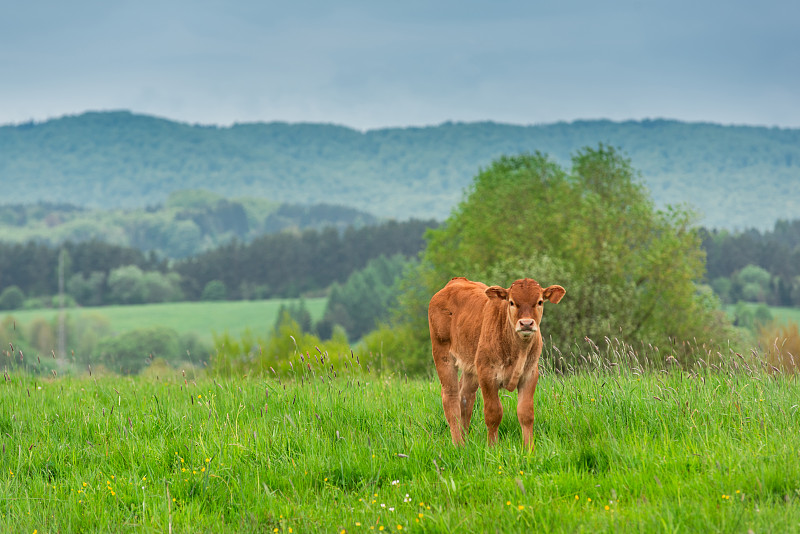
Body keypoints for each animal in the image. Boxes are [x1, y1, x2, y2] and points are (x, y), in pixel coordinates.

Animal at [428, 278, 564, 450]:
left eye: (539, 301)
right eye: (511, 302)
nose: (526, 323)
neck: (518, 351)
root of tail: (456, 281)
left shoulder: (530, 375)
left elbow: (526, 414)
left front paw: (529, 448)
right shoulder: (487, 375)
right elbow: (494, 413)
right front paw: (493, 447)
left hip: (470, 365)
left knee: (465, 397)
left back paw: (465, 443)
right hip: (442, 354)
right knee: (451, 397)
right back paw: (458, 444)